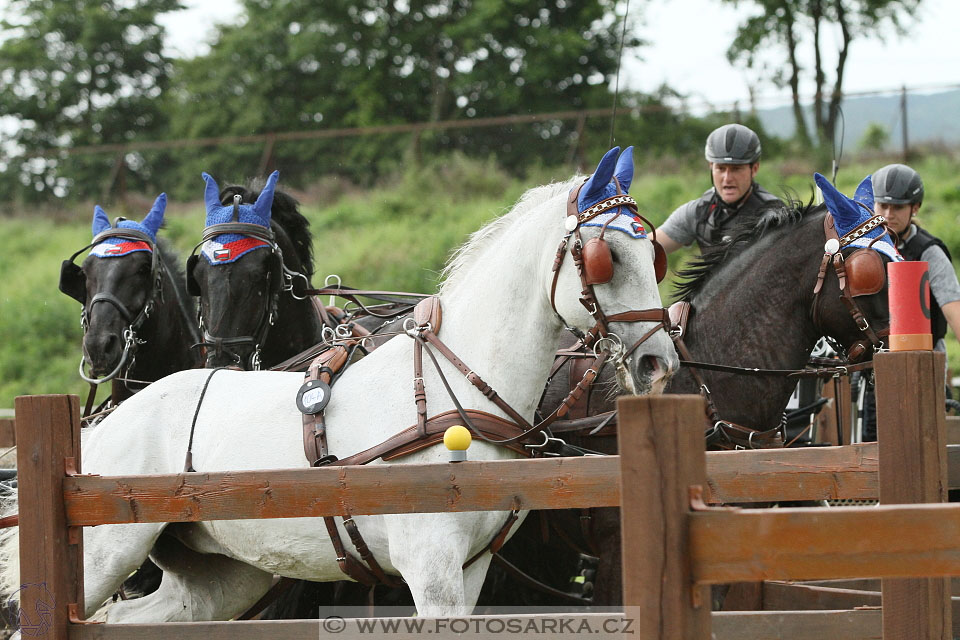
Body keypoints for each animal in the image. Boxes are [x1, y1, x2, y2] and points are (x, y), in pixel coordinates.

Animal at [0, 148, 680, 624]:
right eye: (606, 258)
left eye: (654, 253)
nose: (657, 361)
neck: (452, 394)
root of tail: (100, 428)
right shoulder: (430, 569)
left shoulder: (472, 570)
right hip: (103, 555)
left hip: (220, 575)